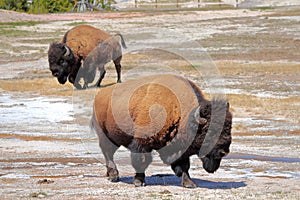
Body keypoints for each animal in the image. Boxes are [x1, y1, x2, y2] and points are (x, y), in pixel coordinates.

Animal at [91, 74, 232, 188]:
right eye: (210, 131)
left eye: (229, 128)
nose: (223, 151)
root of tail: (99, 96)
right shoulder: (142, 143)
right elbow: (141, 161)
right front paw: (139, 182)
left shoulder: (180, 148)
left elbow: (184, 166)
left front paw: (189, 183)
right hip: (106, 136)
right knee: (108, 153)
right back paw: (113, 176)